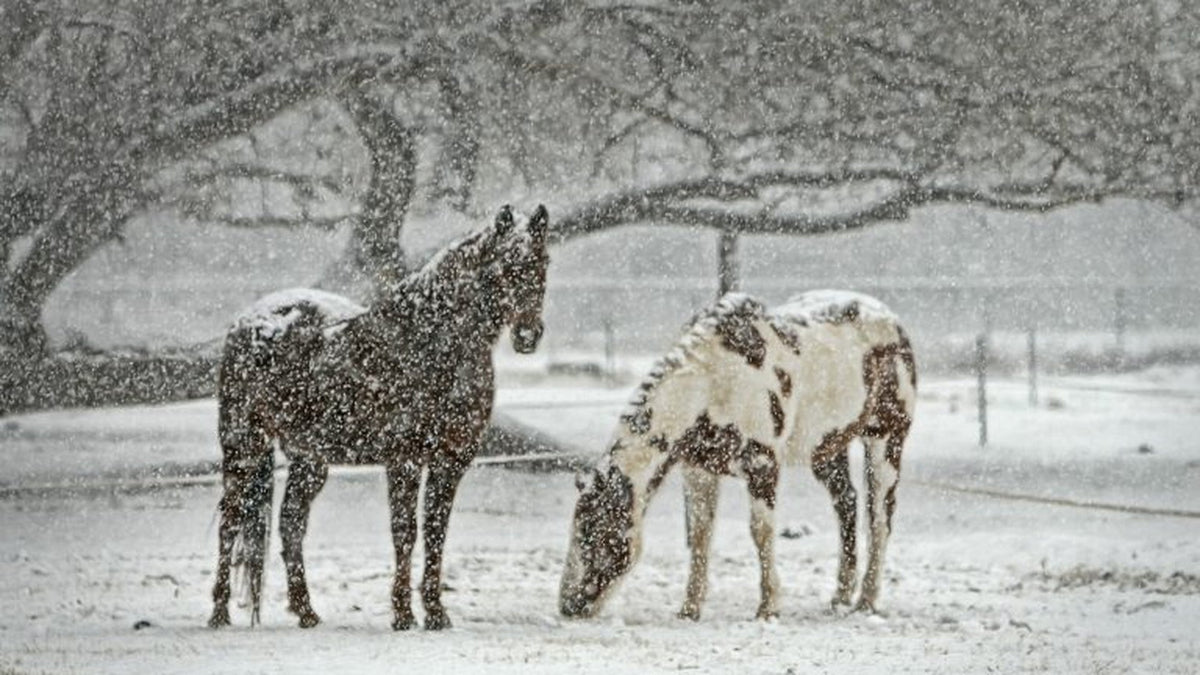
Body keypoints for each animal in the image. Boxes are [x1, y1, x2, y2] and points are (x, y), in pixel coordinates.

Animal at [208, 204, 550, 631]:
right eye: (504, 265)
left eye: (542, 261)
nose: (528, 335)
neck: (433, 342)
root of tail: (249, 320)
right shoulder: (405, 458)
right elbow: (405, 532)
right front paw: (403, 613)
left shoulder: (451, 461)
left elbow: (436, 531)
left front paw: (436, 612)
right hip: (244, 445)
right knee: (231, 520)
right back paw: (219, 612)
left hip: (309, 460)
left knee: (291, 523)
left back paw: (306, 611)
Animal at [559, 290, 916, 621]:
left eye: (596, 534)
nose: (568, 606)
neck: (712, 383)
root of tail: (892, 321)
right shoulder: (699, 469)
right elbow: (700, 535)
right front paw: (690, 609)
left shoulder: (762, 465)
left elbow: (760, 532)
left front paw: (768, 608)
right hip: (827, 449)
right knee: (847, 504)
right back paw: (840, 597)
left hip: (886, 440)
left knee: (879, 517)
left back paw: (866, 601)